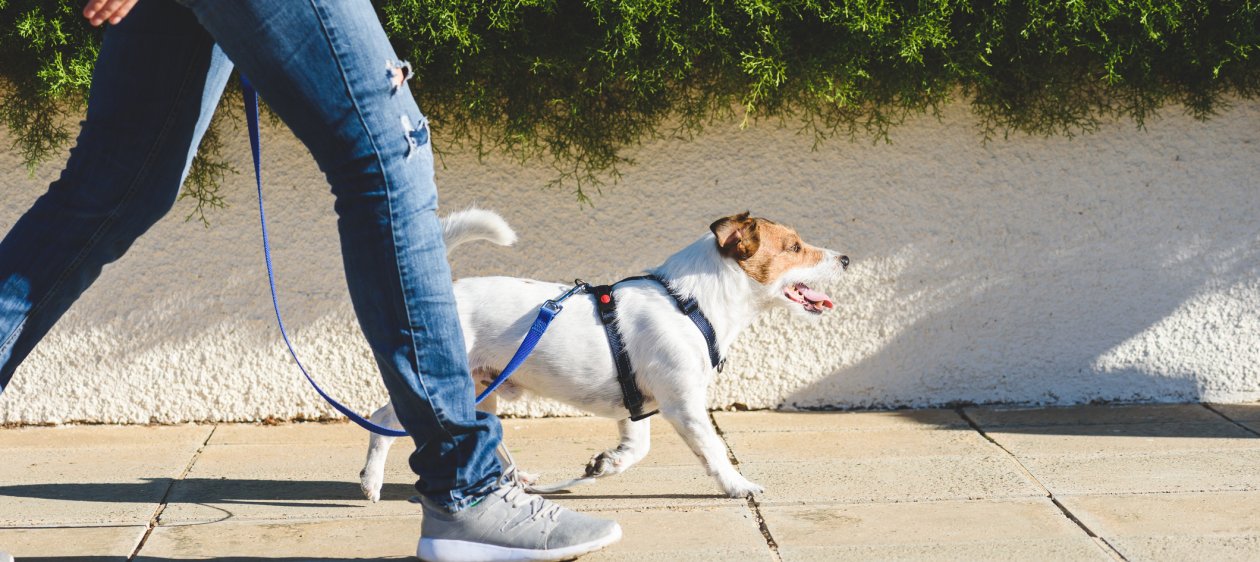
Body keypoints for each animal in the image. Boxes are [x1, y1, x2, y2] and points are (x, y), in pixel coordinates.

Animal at [357, 209, 846, 498]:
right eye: (795, 247)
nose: (844, 259)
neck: (691, 303)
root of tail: (445, 294)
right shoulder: (684, 405)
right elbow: (714, 451)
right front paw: (738, 485)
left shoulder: (638, 406)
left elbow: (636, 449)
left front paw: (606, 464)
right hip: (441, 386)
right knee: (382, 420)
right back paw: (372, 482)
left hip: (482, 390)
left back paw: (518, 480)